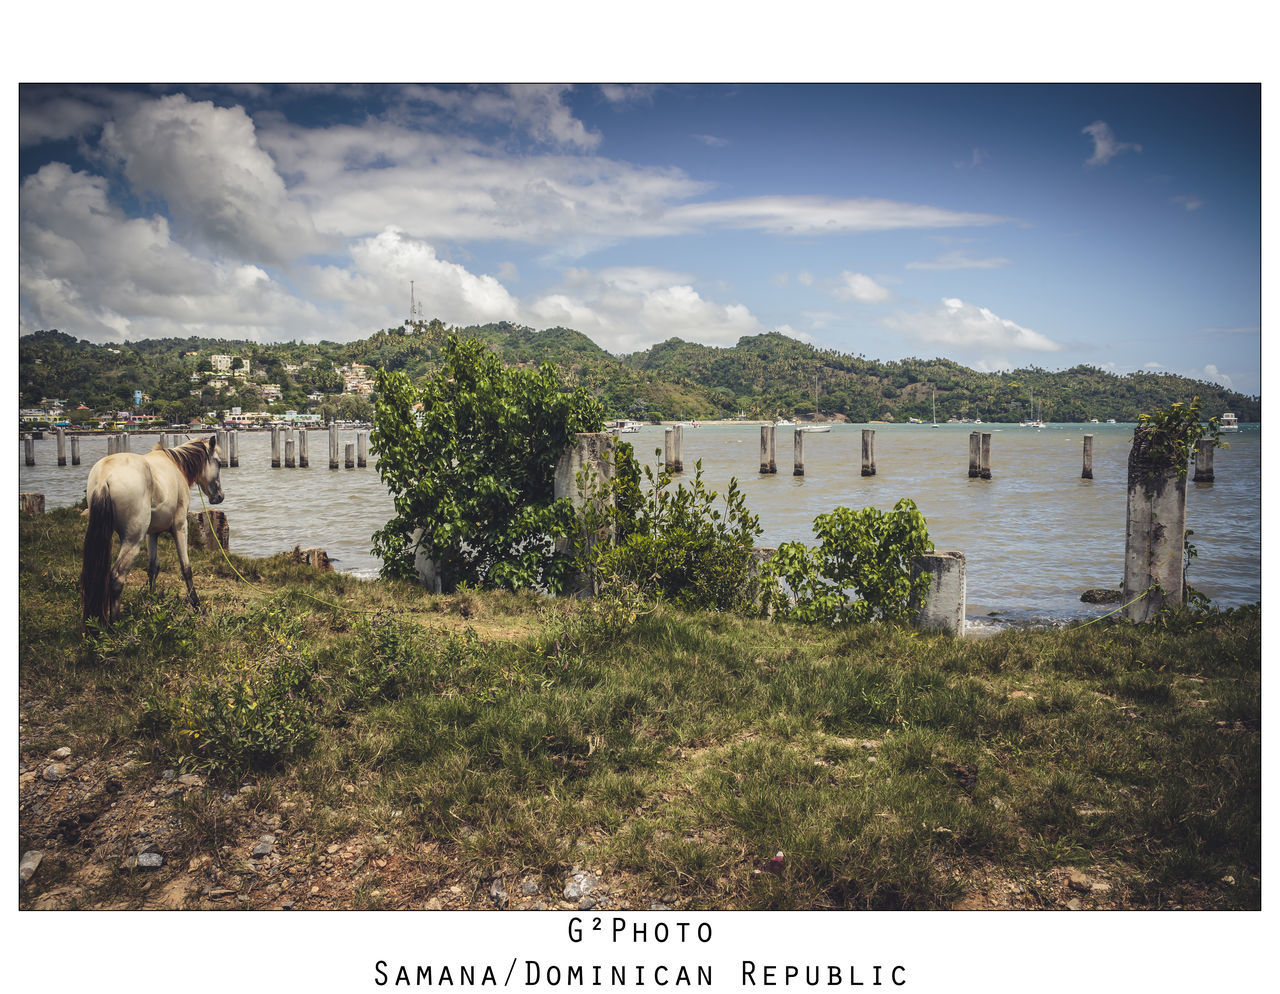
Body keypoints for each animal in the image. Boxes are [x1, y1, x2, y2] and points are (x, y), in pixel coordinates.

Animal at [81, 432, 226, 619]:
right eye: (219, 463)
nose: (219, 496)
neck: (176, 465)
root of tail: (104, 478)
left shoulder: (152, 533)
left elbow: (153, 568)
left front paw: (152, 599)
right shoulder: (180, 526)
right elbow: (186, 568)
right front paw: (196, 604)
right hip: (133, 540)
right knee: (117, 577)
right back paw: (115, 622)